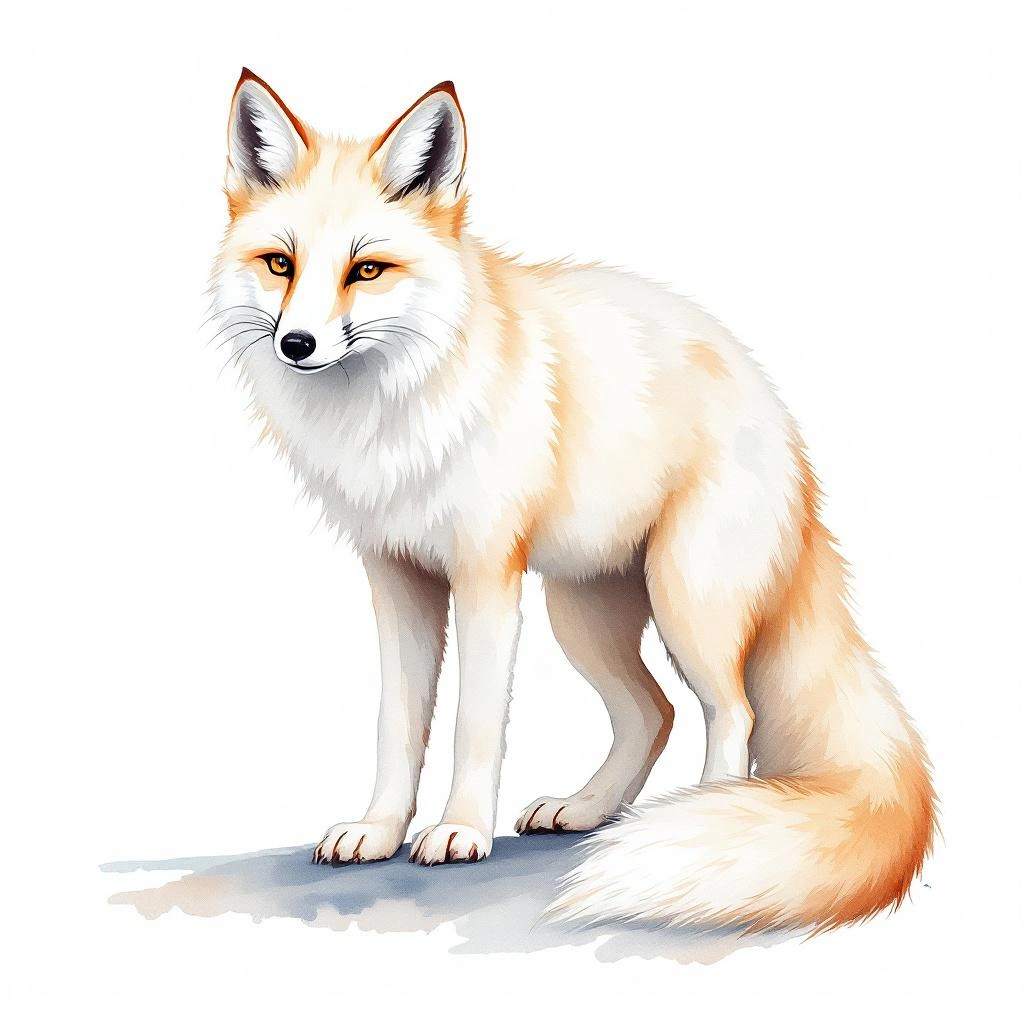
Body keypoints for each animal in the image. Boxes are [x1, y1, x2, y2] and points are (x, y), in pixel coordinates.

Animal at [209, 68, 935, 934]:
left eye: (367, 271)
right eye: (280, 264)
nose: (297, 345)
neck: (391, 419)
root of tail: (787, 428)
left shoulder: (485, 576)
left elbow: (474, 726)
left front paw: (459, 831)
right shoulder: (396, 576)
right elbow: (398, 725)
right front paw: (379, 831)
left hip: (683, 601)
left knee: (731, 713)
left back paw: (700, 812)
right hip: (581, 612)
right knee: (652, 714)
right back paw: (588, 810)